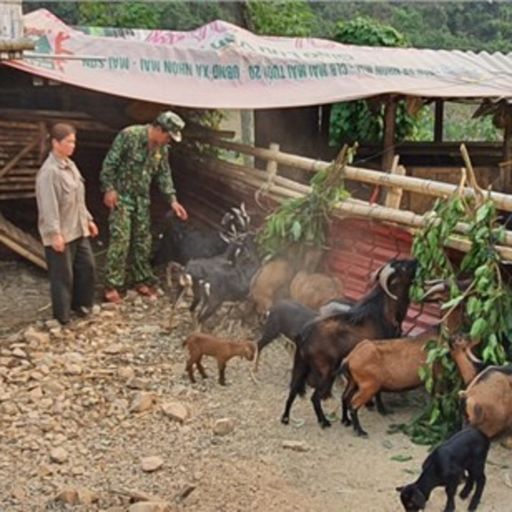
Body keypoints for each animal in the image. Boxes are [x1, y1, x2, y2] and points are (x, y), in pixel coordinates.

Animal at [280, 258, 420, 426]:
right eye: (403, 267)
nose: (416, 260)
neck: (383, 312)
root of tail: (304, 334)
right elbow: (378, 390)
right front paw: (381, 409)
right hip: (326, 370)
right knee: (315, 397)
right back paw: (324, 421)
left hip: (301, 364)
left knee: (293, 390)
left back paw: (285, 418)